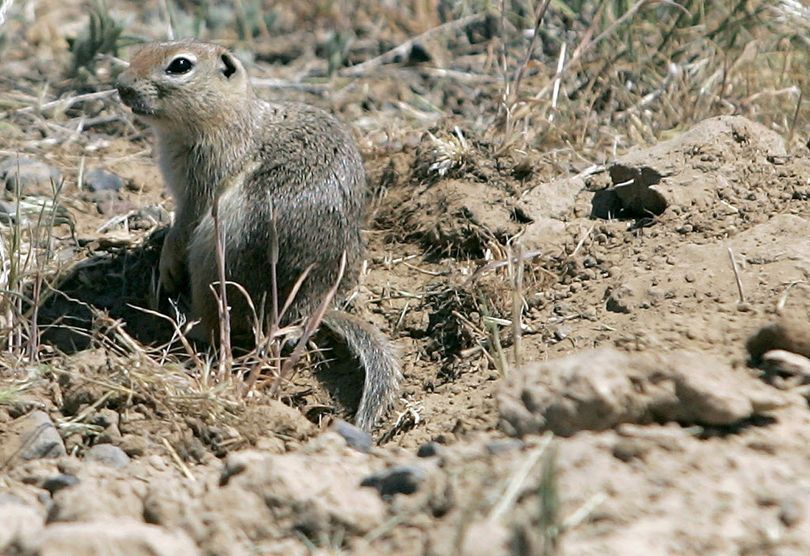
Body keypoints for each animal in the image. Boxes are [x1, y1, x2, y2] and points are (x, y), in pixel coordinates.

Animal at [115, 40, 400, 430]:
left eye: (180, 66)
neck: (232, 117)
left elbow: (183, 226)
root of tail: (307, 307)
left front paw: (166, 261)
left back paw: (185, 325)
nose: (121, 86)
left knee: (219, 327)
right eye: (142, 49)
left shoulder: (202, 187)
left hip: (216, 252)